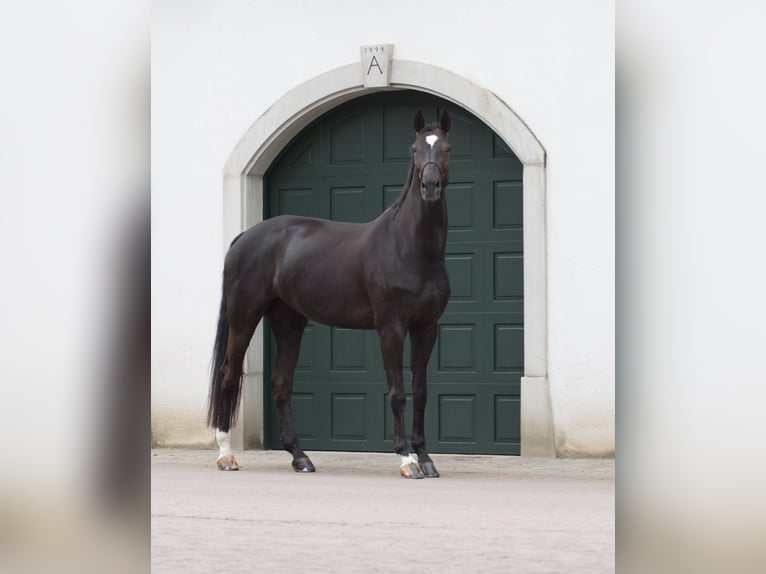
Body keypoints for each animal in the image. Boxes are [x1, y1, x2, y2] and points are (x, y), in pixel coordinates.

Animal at [208, 109, 452, 478]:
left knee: (281, 383)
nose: (430, 187)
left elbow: (421, 392)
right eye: (414, 149)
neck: (409, 247)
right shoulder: (391, 328)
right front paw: (406, 460)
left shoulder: (426, 328)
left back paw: (300, 458)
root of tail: (245, 237)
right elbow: (397, 392)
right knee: (228, 373)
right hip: (244, 315)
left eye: (447, 149)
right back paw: (226, 456)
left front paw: (426, 459)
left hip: (288, 322)